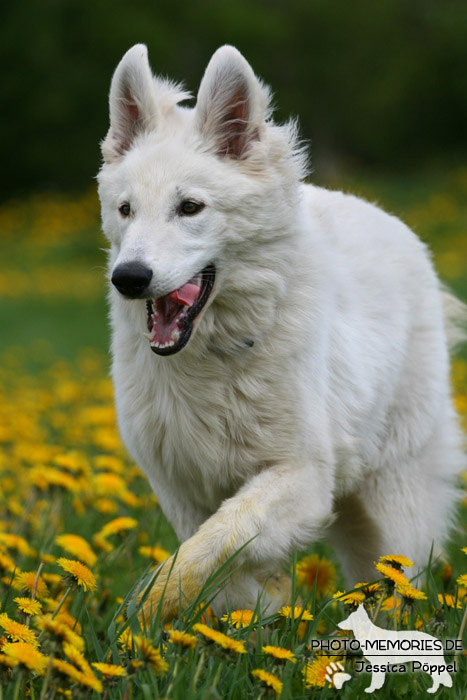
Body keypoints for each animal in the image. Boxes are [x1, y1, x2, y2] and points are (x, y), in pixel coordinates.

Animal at [97, 43, 466, 616]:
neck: (217, 354)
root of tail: (391, 221)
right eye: (126, 209)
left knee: (402, 574)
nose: (129, 278)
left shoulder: (302, 476)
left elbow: (216, 542)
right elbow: (217, 565)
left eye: (189, 207)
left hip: (394, 491)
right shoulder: (181, 487)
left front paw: (149, 606)